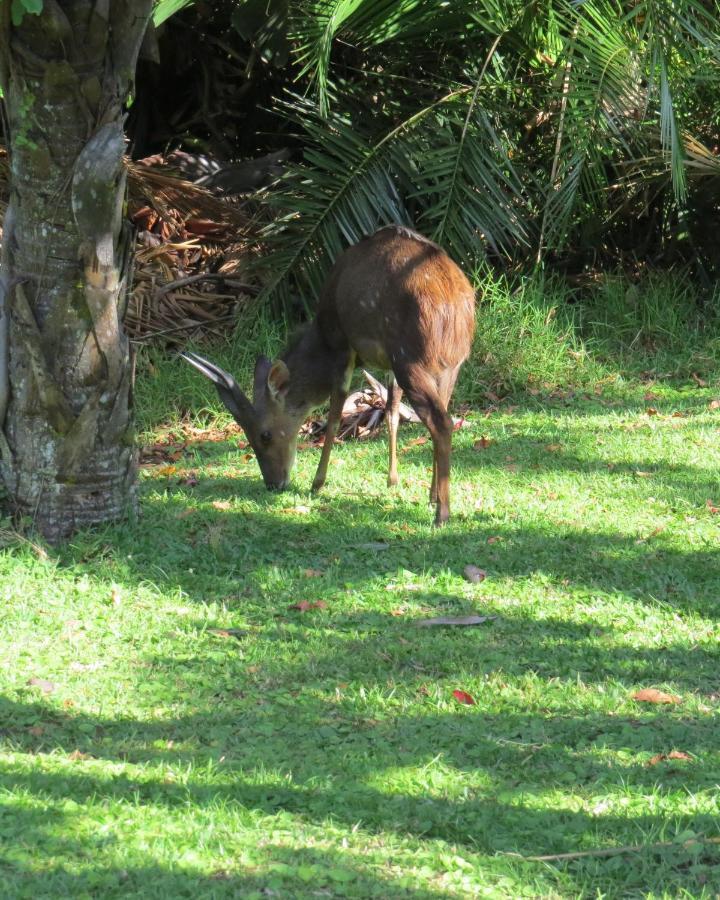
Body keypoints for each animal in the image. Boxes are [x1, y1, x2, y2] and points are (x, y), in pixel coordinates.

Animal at [183, 221, 476, 524]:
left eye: (265, 435)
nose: (274, 483)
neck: (321, 336)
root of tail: (455, 308)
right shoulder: (388, 365)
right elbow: (391, 411)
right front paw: (393, 481)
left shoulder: (342, 346)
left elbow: (334, 414)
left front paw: (317, 483)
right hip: (448, 364)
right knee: (442, 413)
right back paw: (434, 497)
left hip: (411, 360)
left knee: (441, 422)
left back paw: (442, 513)